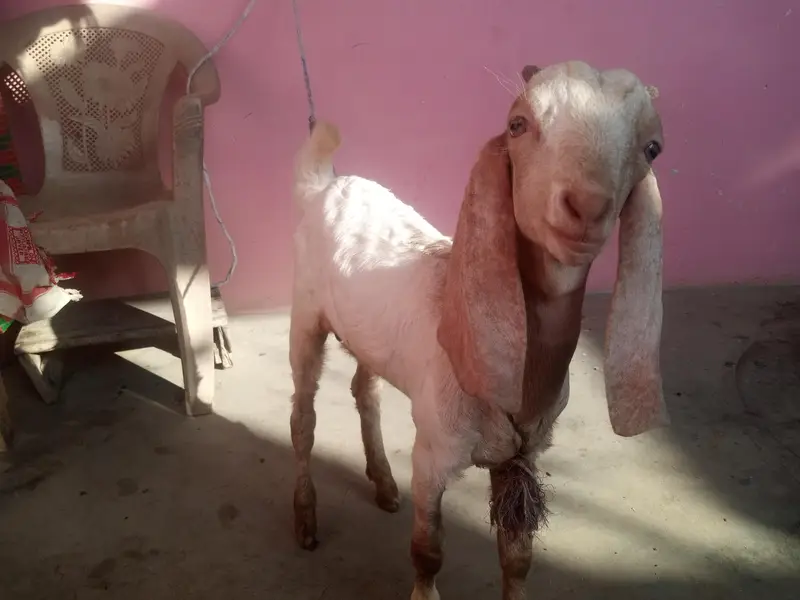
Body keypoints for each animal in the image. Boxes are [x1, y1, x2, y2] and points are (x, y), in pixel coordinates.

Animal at [288, 60, 668, 600]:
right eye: (517, 125)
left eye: (652, 148)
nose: (586, 207)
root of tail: (326, 186)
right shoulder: (432, 454)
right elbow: (428, 552)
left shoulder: (525, 453)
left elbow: (518, 558)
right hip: (305, 313)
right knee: (303, 418)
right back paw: (306, 519)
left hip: (367, 335)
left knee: (365, 390)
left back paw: (383, 483)